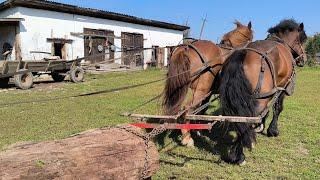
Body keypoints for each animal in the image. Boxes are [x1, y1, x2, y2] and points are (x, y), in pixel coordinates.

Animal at [219, 19, 306, 165]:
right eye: (303, 40)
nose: (304, 58)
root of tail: (243, 53)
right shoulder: (282, 87)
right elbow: (278, 108)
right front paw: (273, 130)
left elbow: (267, 111)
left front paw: (261, 125)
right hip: (260, 98)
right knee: (247, 118)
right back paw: (238, 155)